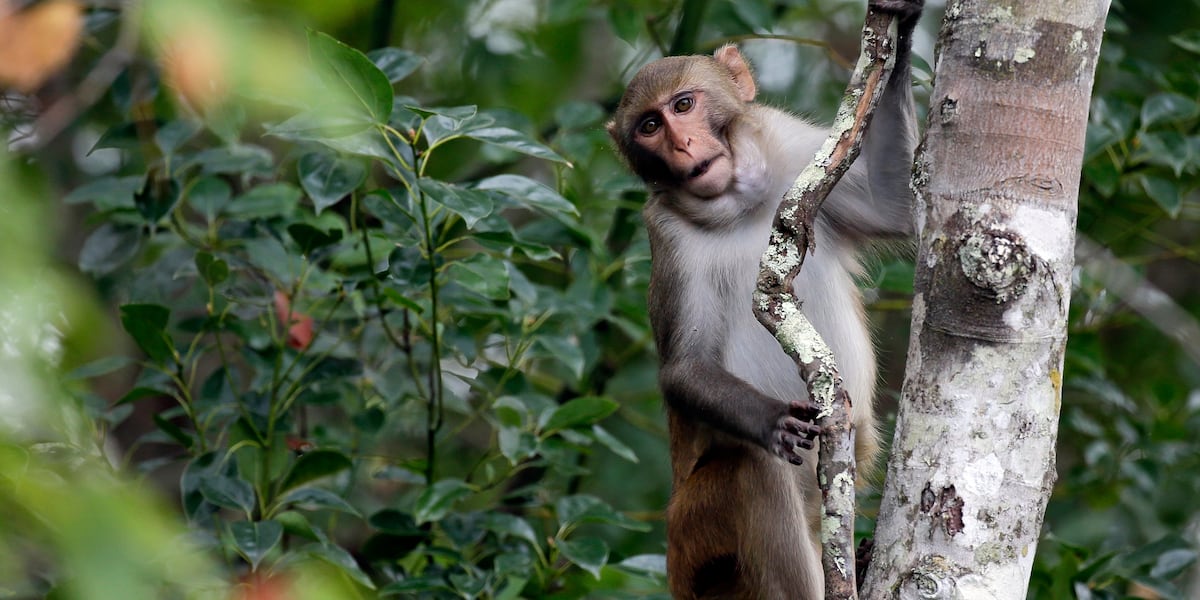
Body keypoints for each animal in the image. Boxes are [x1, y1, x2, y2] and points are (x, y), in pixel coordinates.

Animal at [604, 2, 921, 597]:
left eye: (684, 105)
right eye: (650, 126)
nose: (682, 145)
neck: (739, 206)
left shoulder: (793, 147)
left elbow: (895, 205)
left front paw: (905, 25)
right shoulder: (668, 237)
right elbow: (685, 368)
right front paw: (772, 420)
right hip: (696, 535)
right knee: (752, 471)